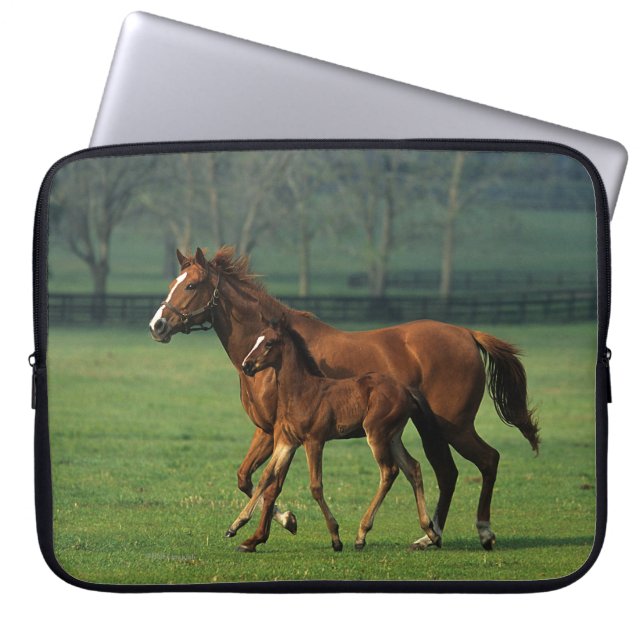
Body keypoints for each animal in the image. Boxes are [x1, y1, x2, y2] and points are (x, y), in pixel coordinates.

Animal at [224, 314, 441, 552]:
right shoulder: (286, 442)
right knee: (413, 468)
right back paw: (430, 532)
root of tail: (406, 390)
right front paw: (235, 527)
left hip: (376, 434)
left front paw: (336, 537)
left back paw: (361, 535)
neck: (301, 391)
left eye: (269, 343)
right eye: (257, 340)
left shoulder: (314, 441)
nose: (246, 365)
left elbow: (315, 486)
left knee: (389, 471)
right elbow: (265, 477)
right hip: (392, 437)